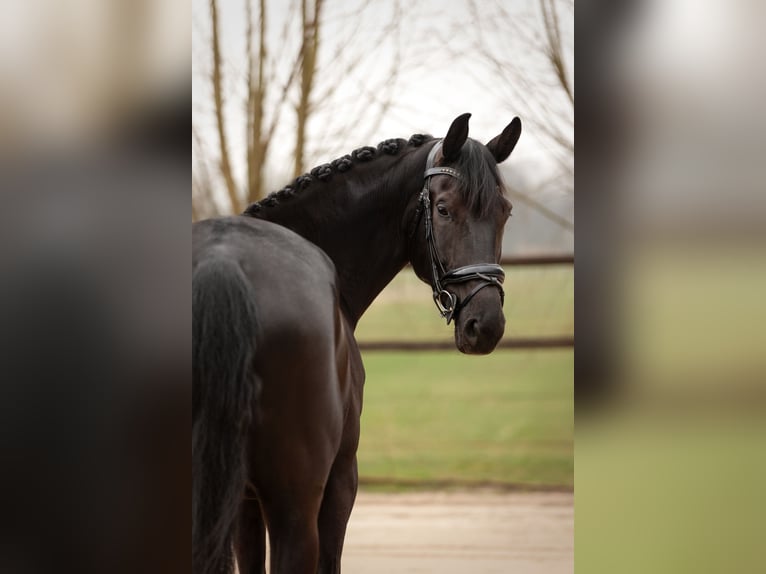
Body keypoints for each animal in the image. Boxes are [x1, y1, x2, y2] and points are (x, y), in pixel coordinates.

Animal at [192, 113, 522, 574]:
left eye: (504, 212)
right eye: (443, 209)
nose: (486, 325)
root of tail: (224, 262)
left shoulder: (243, 502)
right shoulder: (340, 480)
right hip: (296, 503)